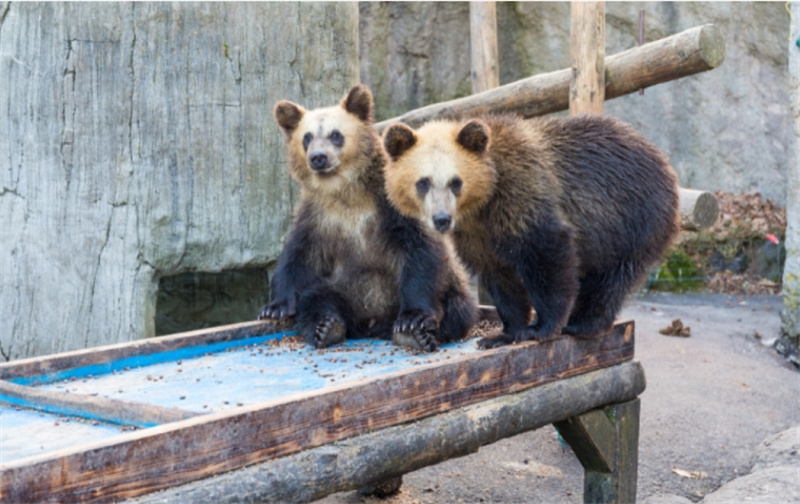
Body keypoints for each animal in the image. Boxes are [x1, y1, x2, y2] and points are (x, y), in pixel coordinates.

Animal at [258, 85, 477, 352]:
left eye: (335, 134)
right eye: (306, 137)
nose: (318, 157)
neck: (345, 190)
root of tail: (371, 323)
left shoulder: (392, 205)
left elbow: (420, 251)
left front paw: (412, 320)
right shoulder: (319, 216)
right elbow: (298, 255)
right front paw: (274, 308)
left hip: (452, 286)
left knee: (458, 310)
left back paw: (415, 334)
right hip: (343, 288)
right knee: (315, 299)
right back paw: (327, 327)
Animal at [382, 113, 680, 348]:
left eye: (455, 182)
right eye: (423, 182)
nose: (442, 219)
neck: (484, 202)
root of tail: (665, 163)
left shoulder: (523, 194)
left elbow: (547, 252)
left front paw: (540, 327)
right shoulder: (477, 235)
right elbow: (500, 277)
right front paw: (502, 334)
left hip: (632, 219)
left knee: (612, 278)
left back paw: (584, 323)